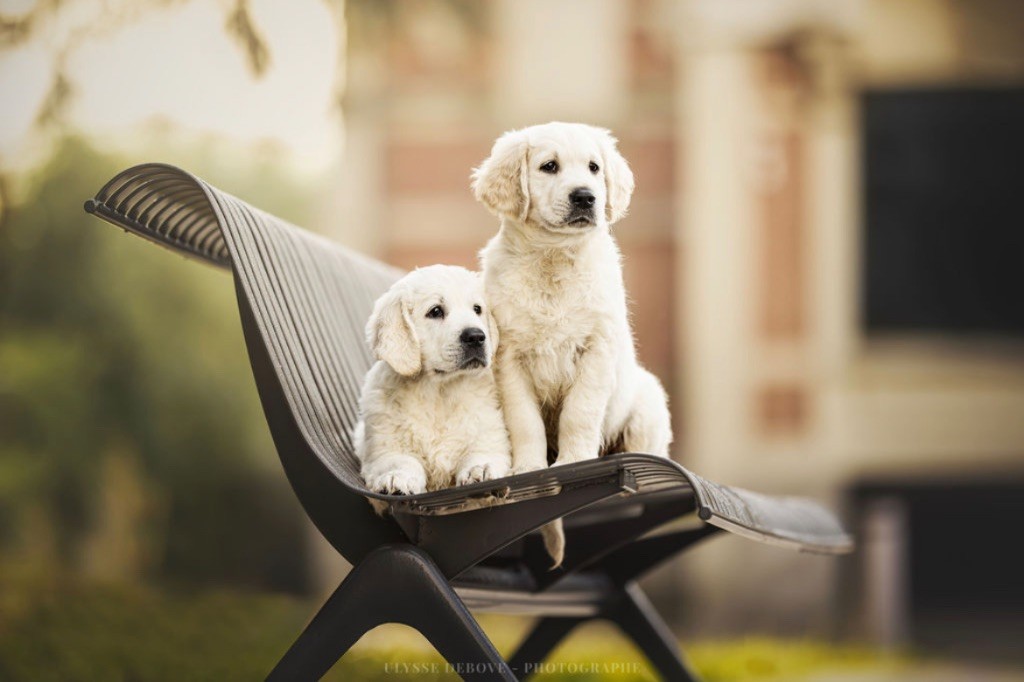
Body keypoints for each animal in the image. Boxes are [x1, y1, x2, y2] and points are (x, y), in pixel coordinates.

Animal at [356, 264, 512, 493]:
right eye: (436, 311)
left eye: (477, 309)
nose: (477, 336)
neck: (440, 392)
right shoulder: (383, 447)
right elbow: (400, 460)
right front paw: (397, 477)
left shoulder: (490, 437)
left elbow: (481, 453)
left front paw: (480, 469)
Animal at [471, 120, 671, 473]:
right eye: (549, 166)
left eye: (594, 167)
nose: (585, 197)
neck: (554, 257)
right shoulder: (510, 358)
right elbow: (524, 421)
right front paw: (529, 467)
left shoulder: (596, 348)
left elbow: (580, 413)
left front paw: (574, 460)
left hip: (648, 407)